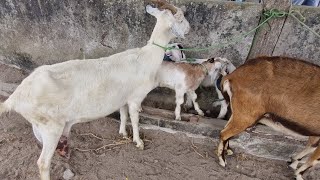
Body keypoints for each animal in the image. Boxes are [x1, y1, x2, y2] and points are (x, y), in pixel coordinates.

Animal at [0, 0, 190, 179]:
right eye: (180, 18)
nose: (188, 29)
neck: (145, 57)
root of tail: (15, 97)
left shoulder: (123, 97)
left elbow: (123, 115)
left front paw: (123, 133)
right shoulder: (135, 98)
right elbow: (135, 120)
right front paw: (138, 142)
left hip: (39, 125)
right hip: (50, 127)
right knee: (43, 163)